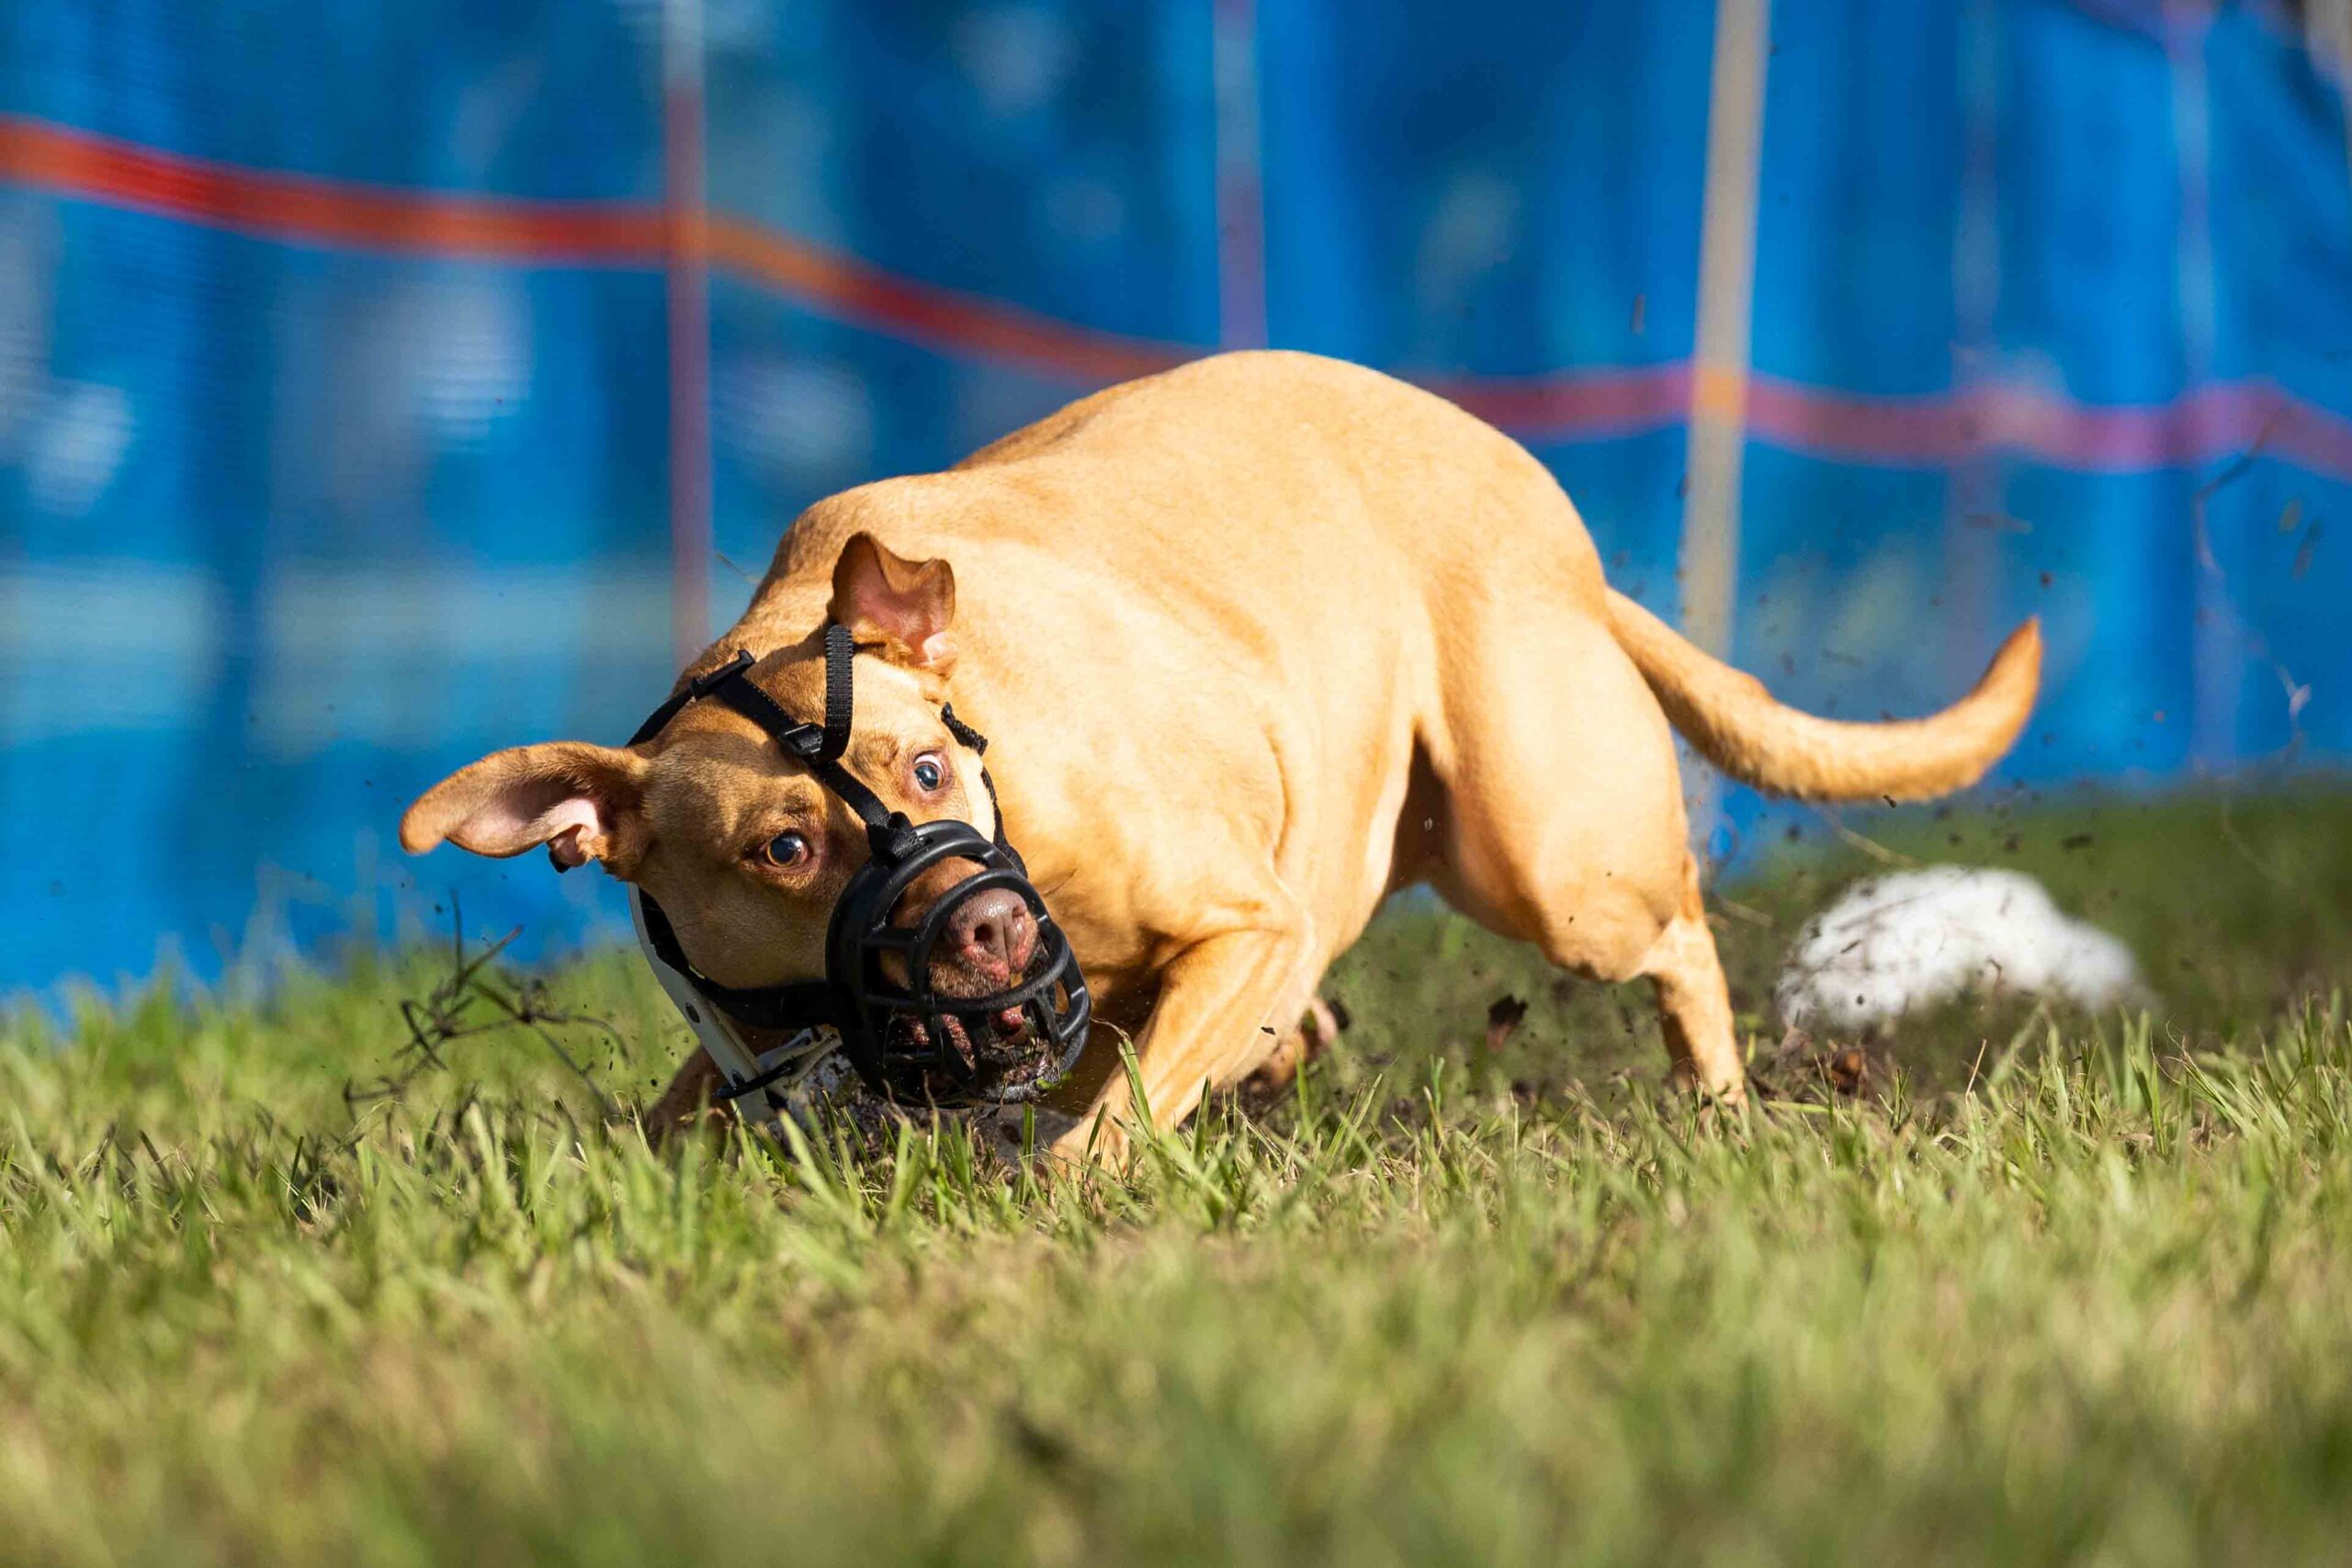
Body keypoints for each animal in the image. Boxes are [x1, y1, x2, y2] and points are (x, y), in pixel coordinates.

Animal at [404, 355, 2041, 1166]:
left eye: (926, 768)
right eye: (783, 847)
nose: (983, 926)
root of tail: (1565, 542)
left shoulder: (1243, 924)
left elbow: (1107, 1117)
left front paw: (1069, 1189)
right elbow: (668, 1127)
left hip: (1547, 852)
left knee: (1677, 936)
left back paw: (1718, 1099)